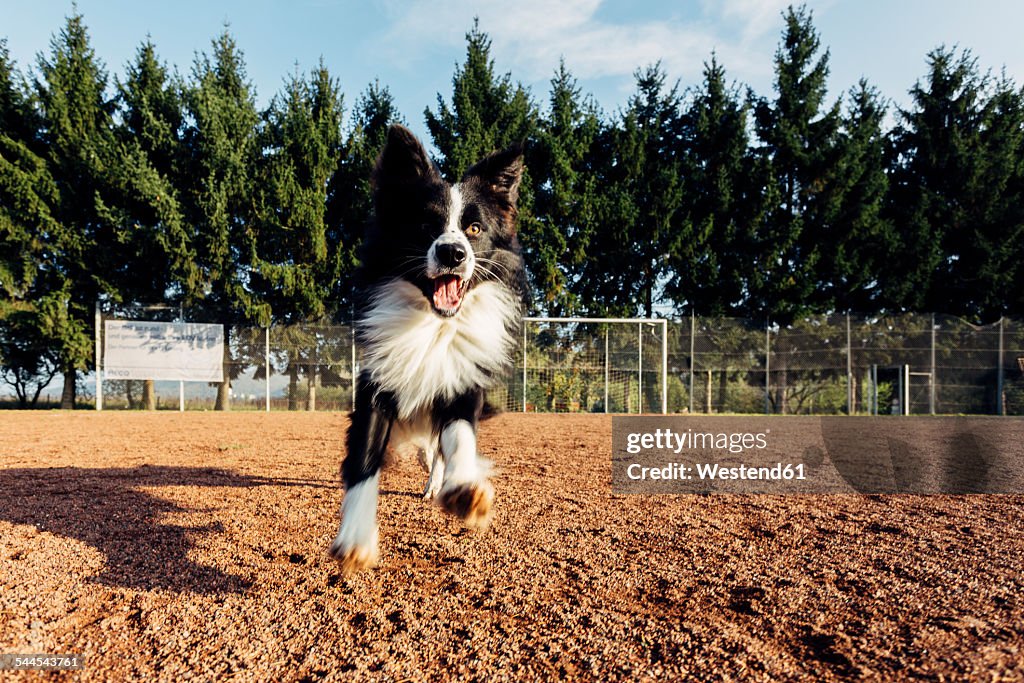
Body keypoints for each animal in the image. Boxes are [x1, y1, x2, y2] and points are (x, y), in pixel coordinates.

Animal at [329, 125, 524, 573]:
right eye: (424, 224)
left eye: (474, 228)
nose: (452, 252)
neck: (432, 325)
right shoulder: (376, 384)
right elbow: (364, 459)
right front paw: (356, 538)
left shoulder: (462, 381)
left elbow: (460, 436)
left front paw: (465, 488)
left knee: (437, 449)